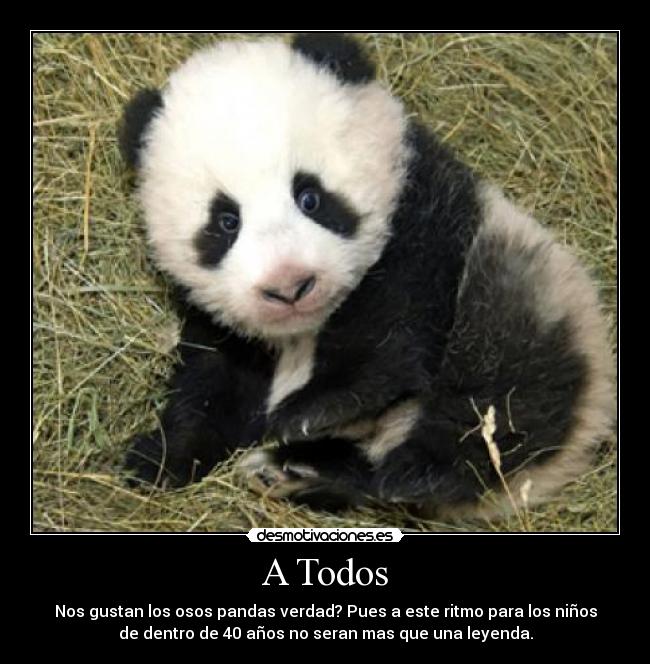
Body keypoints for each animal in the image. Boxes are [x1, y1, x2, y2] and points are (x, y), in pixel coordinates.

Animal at [120, 34, 615, 519]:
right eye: (226, 221)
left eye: (310, 197)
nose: (290, 286)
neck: (304, 330)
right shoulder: (225, 325)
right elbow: (213, 380)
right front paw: (160, 460)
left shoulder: (426, 219)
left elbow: (391, 325)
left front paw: (311, 409)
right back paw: (301, 472)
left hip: (524, 294)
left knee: (497, 397)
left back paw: (411, 471)